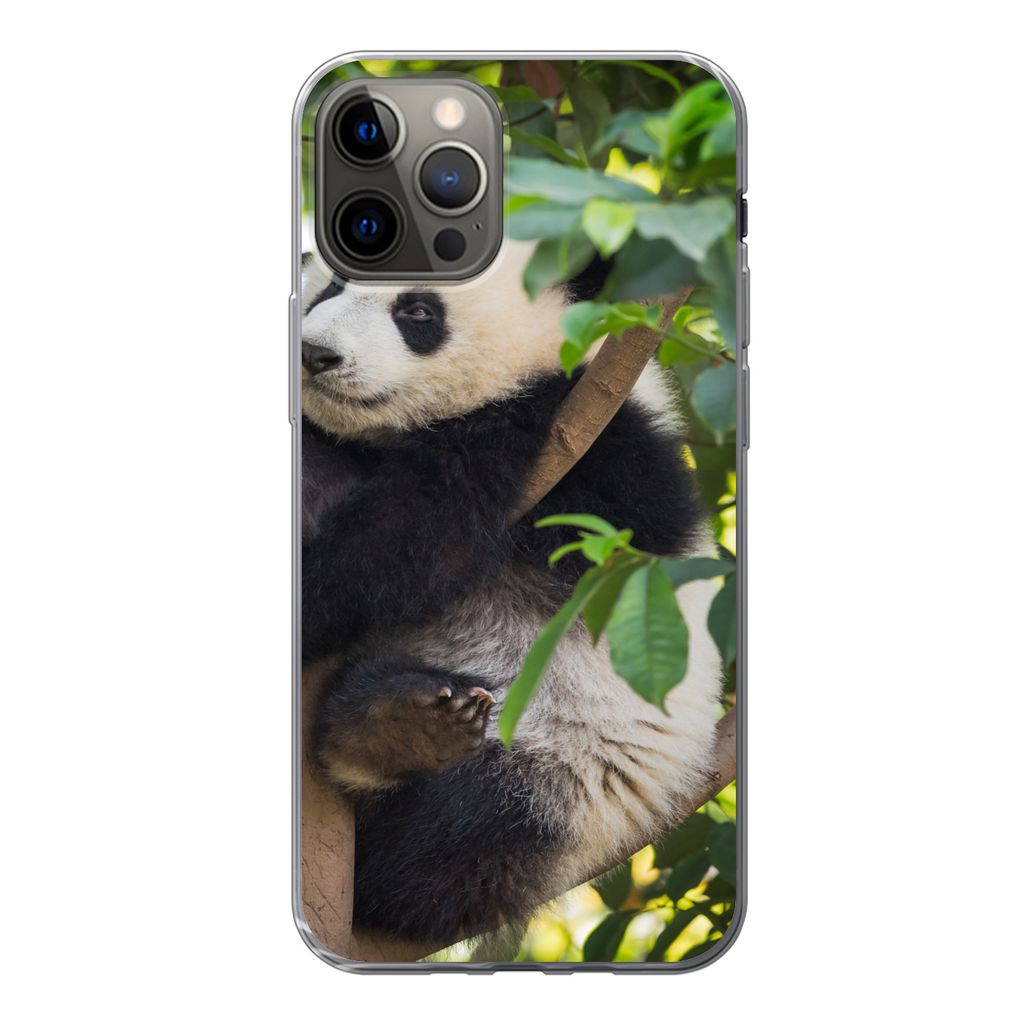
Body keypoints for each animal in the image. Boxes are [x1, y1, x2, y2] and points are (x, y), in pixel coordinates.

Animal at [300, 241, 723, 946]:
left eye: (419, 311)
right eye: (329, 286)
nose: (313, 354)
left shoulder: (575, 442)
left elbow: (411, 540)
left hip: (567, 777)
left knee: (447, 846)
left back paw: (391, 734)